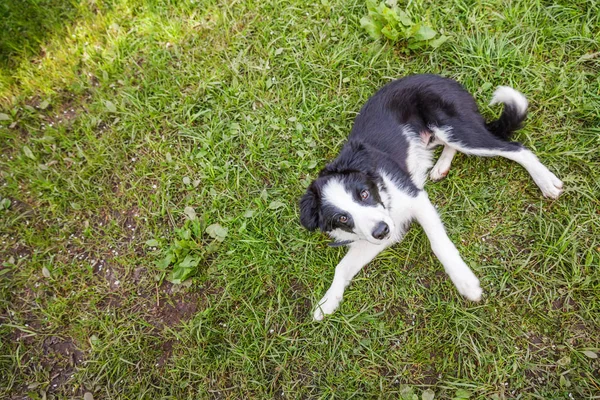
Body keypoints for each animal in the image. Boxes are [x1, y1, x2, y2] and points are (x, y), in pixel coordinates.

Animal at [300, 73, 564, 320]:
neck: (383, 194)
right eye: (342, 218)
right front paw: (327, 302)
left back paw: (545, 181)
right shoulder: (377, 233)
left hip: (456, 130)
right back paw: (440, 167)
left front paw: (466, 283)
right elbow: (341, 267)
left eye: (364, 194)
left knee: (516, 148)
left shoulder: (416, 199)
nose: (382, 231)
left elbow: (439, 244)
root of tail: (445, 80)